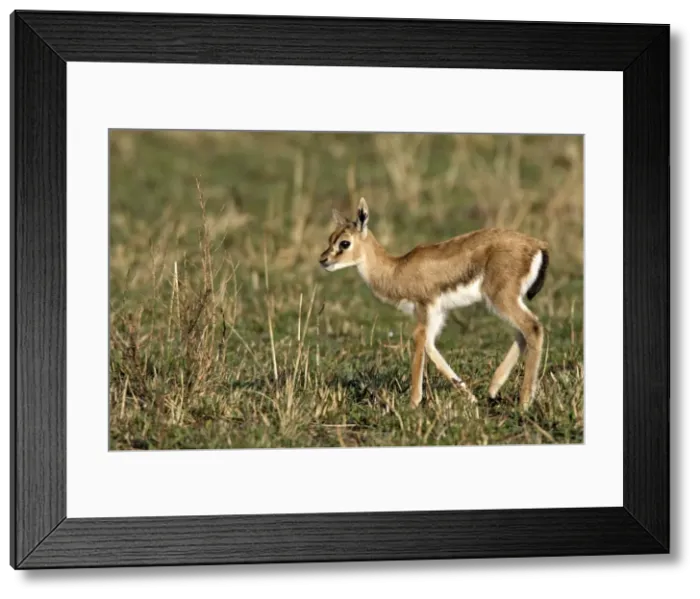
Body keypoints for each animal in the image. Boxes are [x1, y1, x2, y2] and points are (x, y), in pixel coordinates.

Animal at [319, 197, 550, 409]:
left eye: (345, 243)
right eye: (330, 238)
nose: (323, 260)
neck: (397, 270)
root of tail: (537, 245)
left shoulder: (424, 312)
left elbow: (420, 347)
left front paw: (413, 405)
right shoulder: (437, 314)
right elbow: (431, 348)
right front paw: (470, 397)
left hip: (500, 299)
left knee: (532, 327)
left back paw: (524, 402)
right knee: (522, 333)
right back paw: (493, 389)